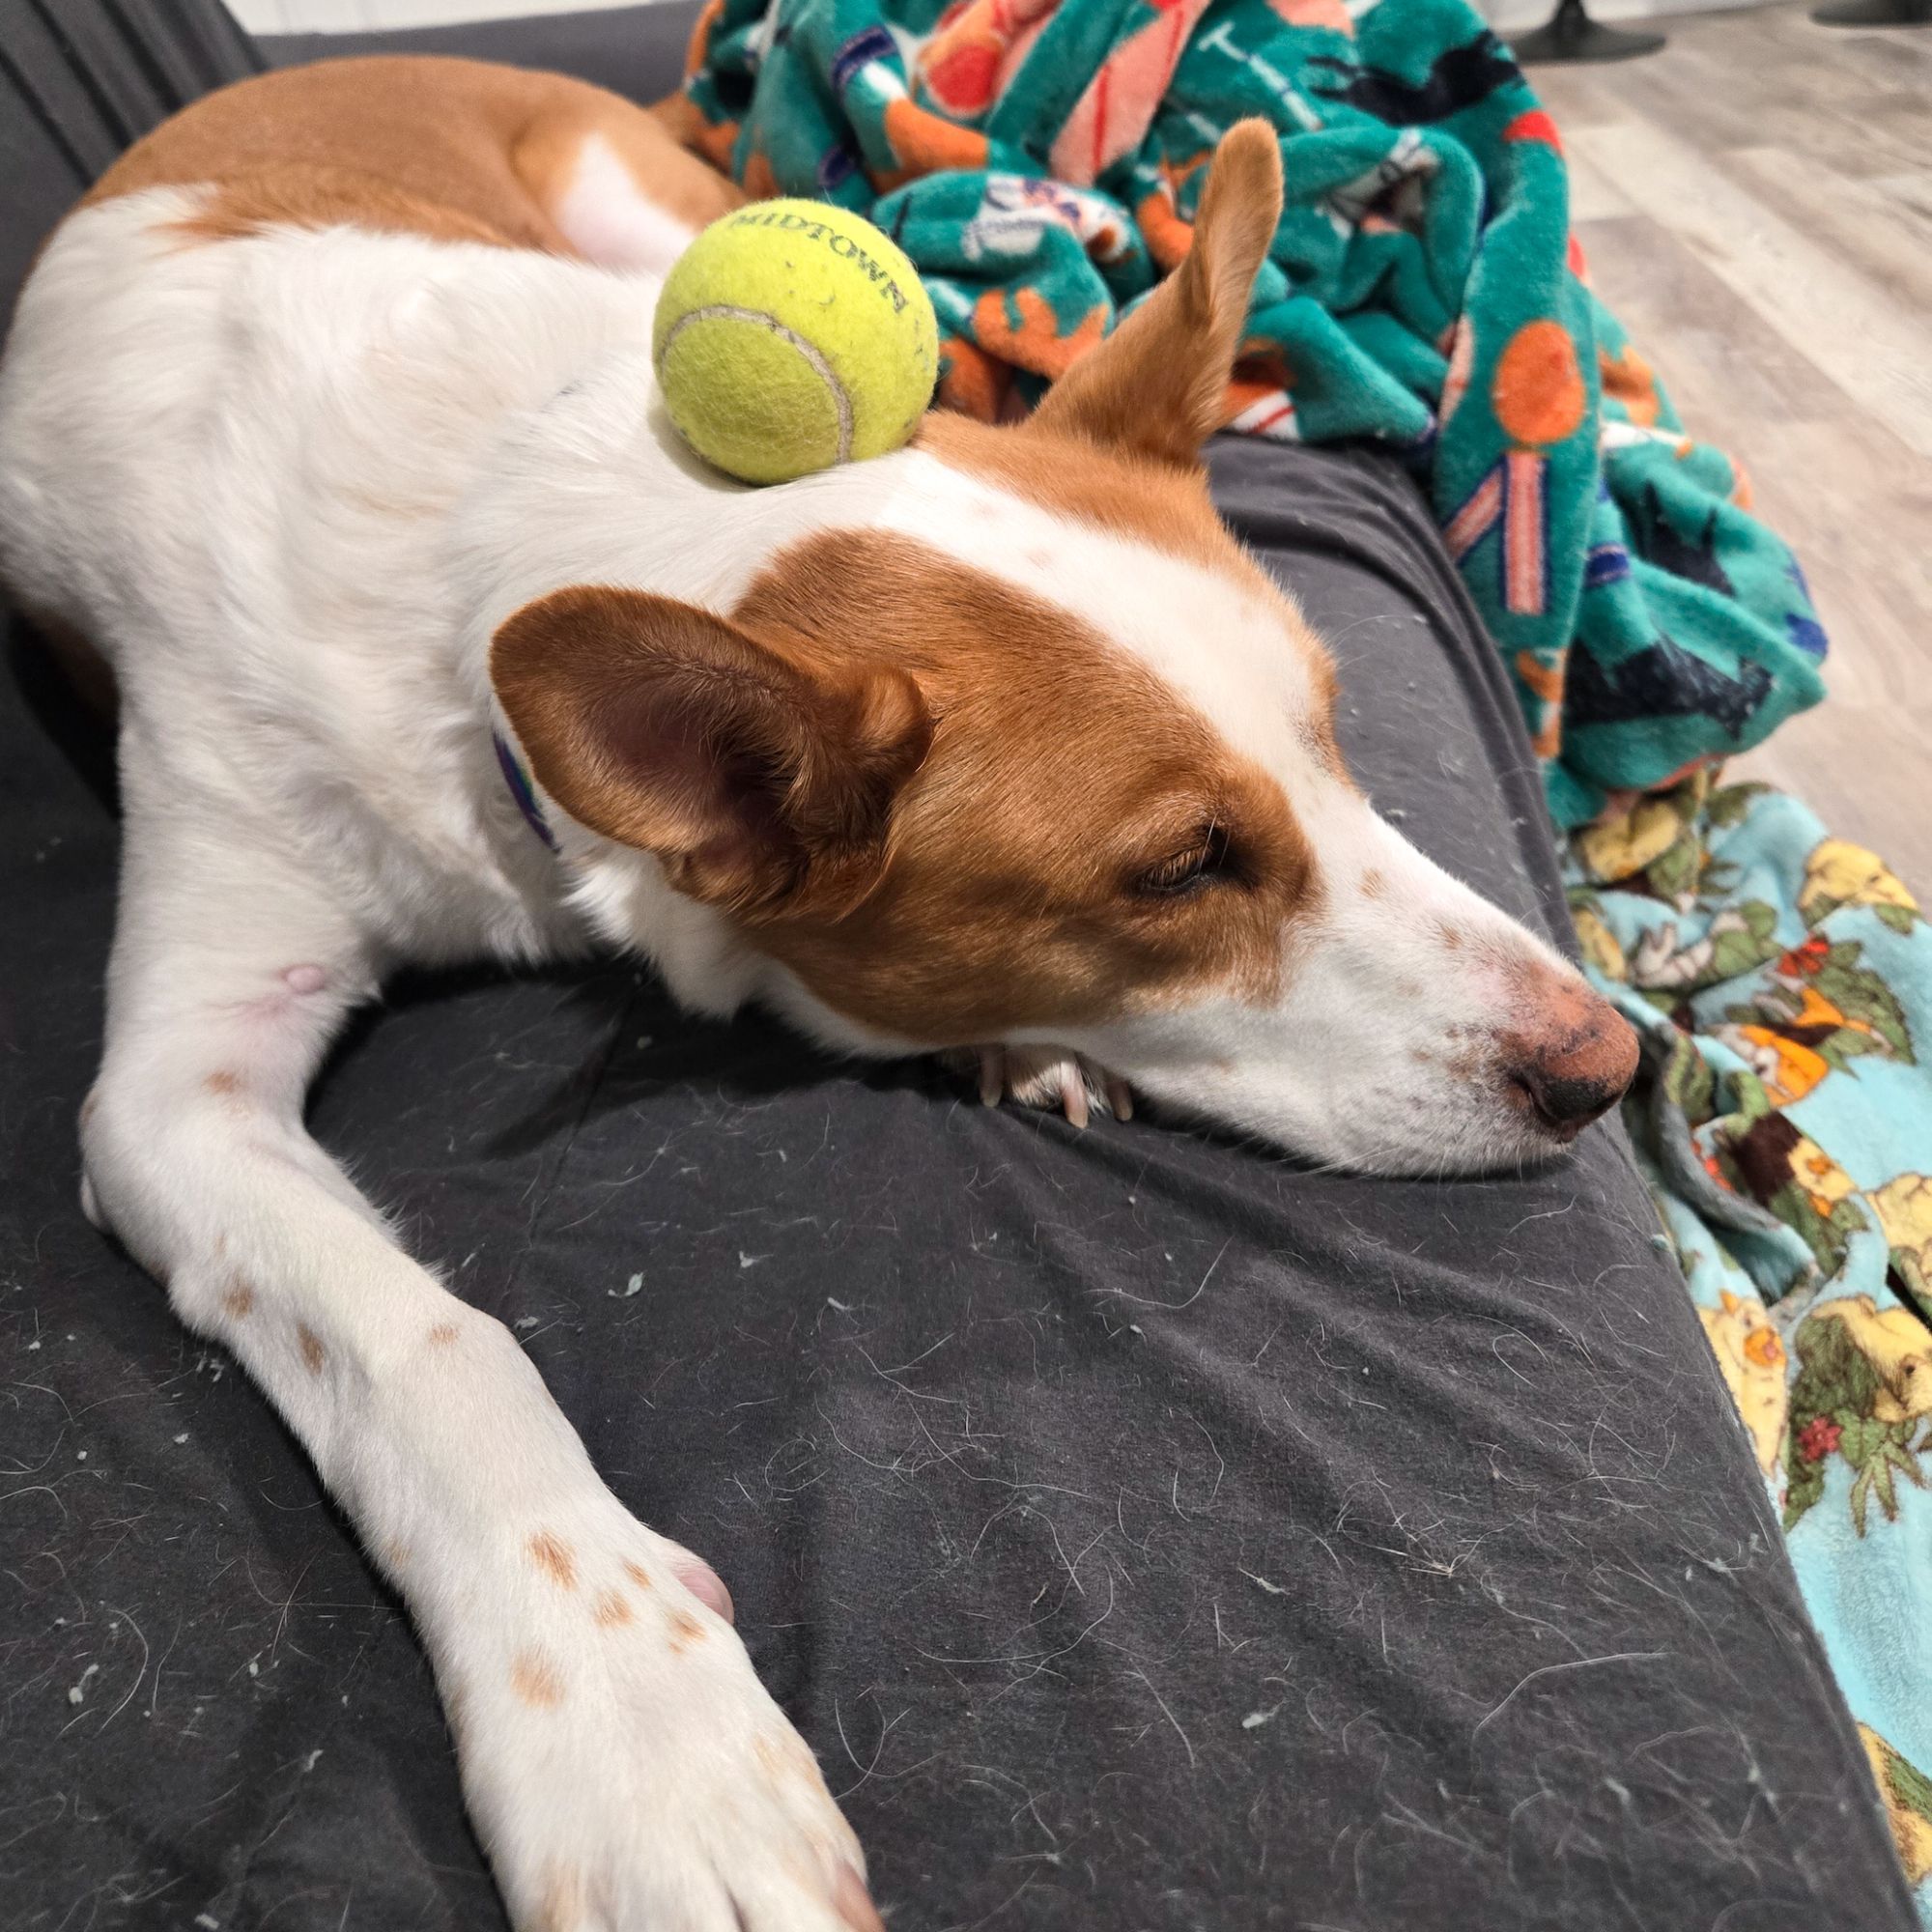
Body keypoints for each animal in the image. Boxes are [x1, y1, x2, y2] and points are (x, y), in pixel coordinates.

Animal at [0, 56, 1631, 1932]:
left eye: (1335, 733)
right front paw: (634, 1721)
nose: (1609, 1064)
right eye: (1183, 869)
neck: (510, 516)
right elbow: (425, 1335)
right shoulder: (176, 1087)